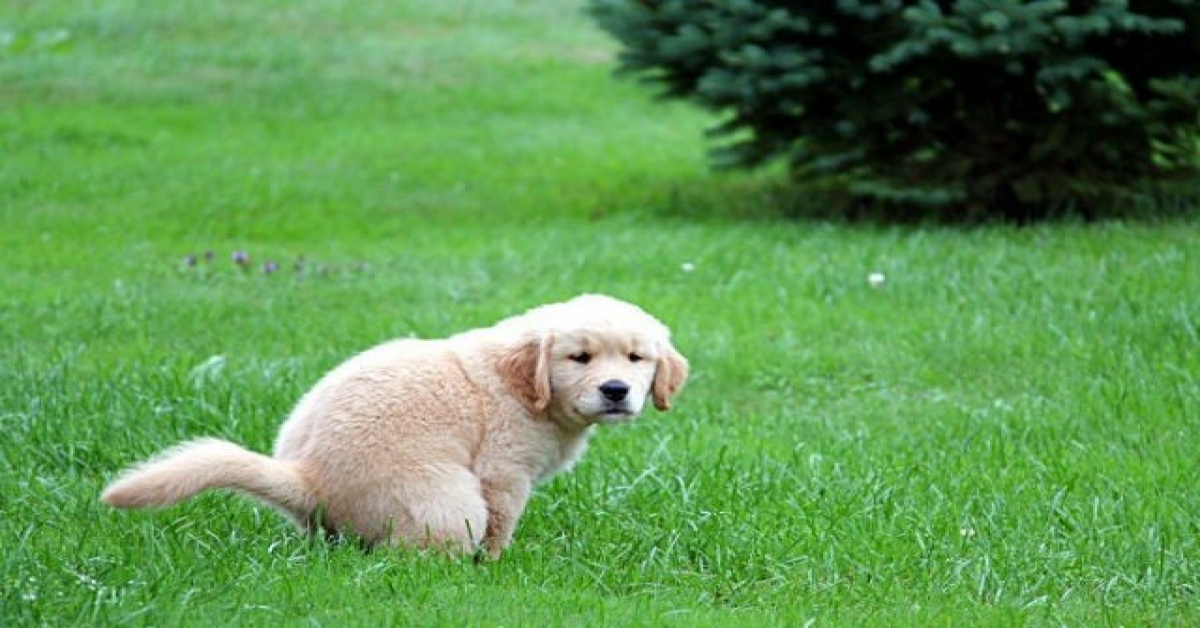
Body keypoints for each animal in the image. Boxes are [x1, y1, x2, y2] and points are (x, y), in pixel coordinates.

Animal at [103, 292, 691, 557]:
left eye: (637, 358)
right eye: (580, 358)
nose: (615, 390)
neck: (525, 386)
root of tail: (306, 478)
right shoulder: (503, 473)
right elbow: (502, 524)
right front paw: (497, 564)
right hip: (447, 503)